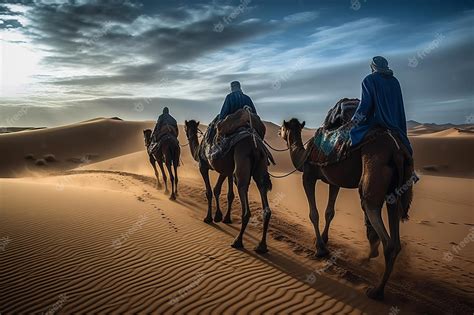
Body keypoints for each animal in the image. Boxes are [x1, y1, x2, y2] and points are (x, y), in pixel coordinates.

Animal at [185, 119, 274, 253]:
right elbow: (225, 192)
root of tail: (256, 146)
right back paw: (261, 246)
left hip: (241, 163)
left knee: (244, 201)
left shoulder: (203, 166)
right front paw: (223, 217)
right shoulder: (227, 170)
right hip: (261, 167)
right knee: (263, 193)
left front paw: (209, 218)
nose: (186, 133)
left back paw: (237, 241)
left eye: (185, 128)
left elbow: (210, 191)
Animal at [280, 119, 412, 302]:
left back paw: (376, 291)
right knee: (395, 233)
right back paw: (369, 262)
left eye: (282, 127)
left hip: (373, 176)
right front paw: (324, 240)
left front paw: (320, 249)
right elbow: (329, 212)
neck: (304, 154)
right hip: (394, 190)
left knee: (378, 221)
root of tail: (397, 152)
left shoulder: (308, 175)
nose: (279, 132)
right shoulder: (333, 181)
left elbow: (314, 213)